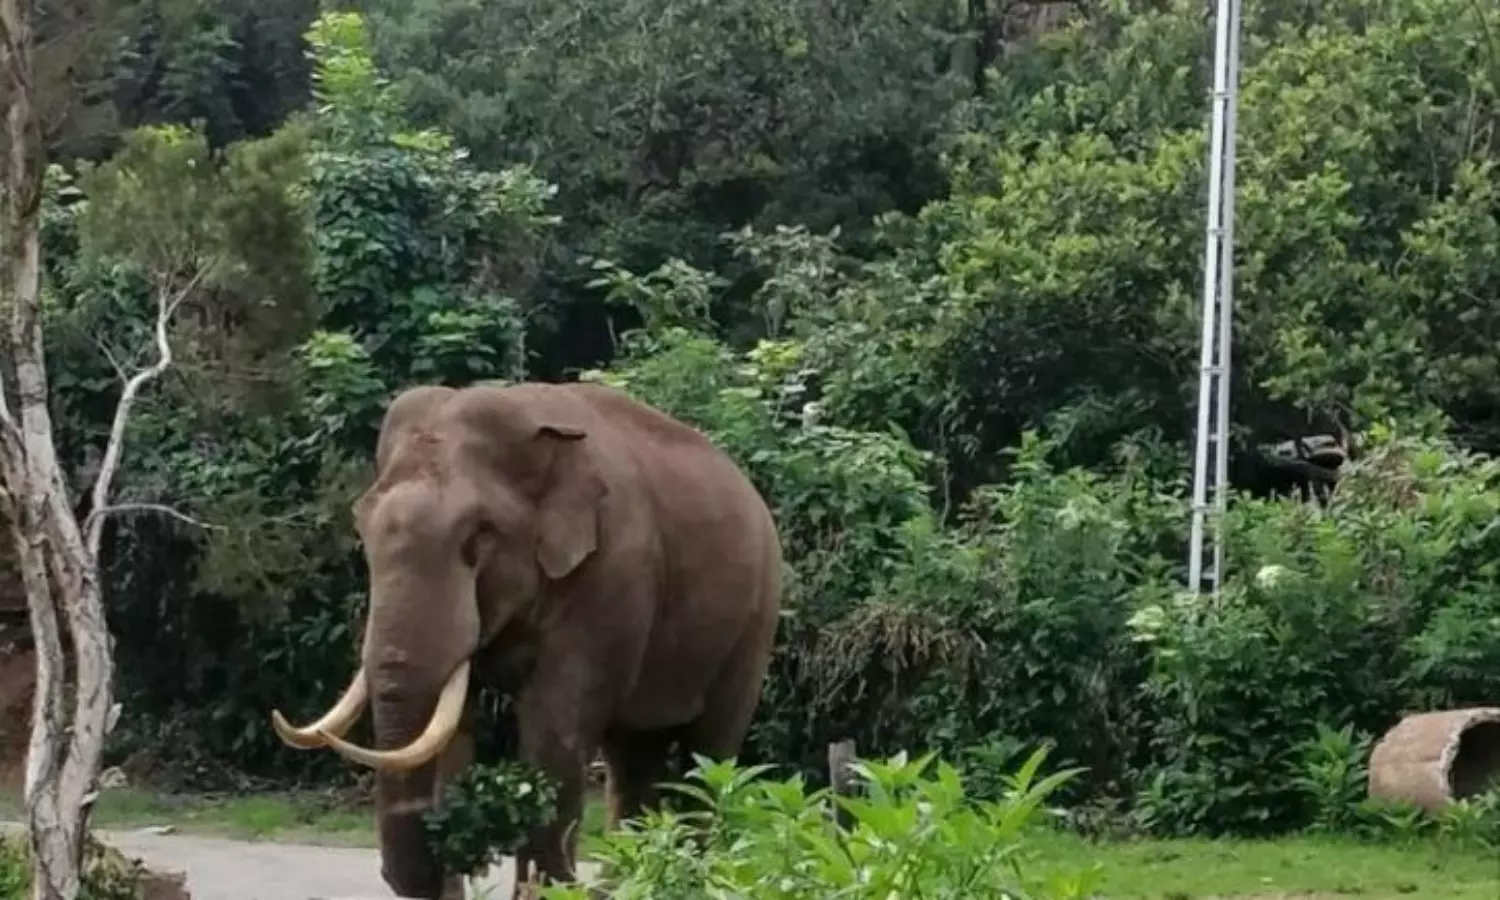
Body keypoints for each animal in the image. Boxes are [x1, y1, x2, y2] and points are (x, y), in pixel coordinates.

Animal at [268, 380, 784, 898]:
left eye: (477, 539)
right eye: (362, 528)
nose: (449, 851)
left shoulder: (609, 577)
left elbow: (553, 732)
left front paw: (552, 889)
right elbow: (453, 728)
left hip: (755, 621)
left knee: (710, 751)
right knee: (633, 755)